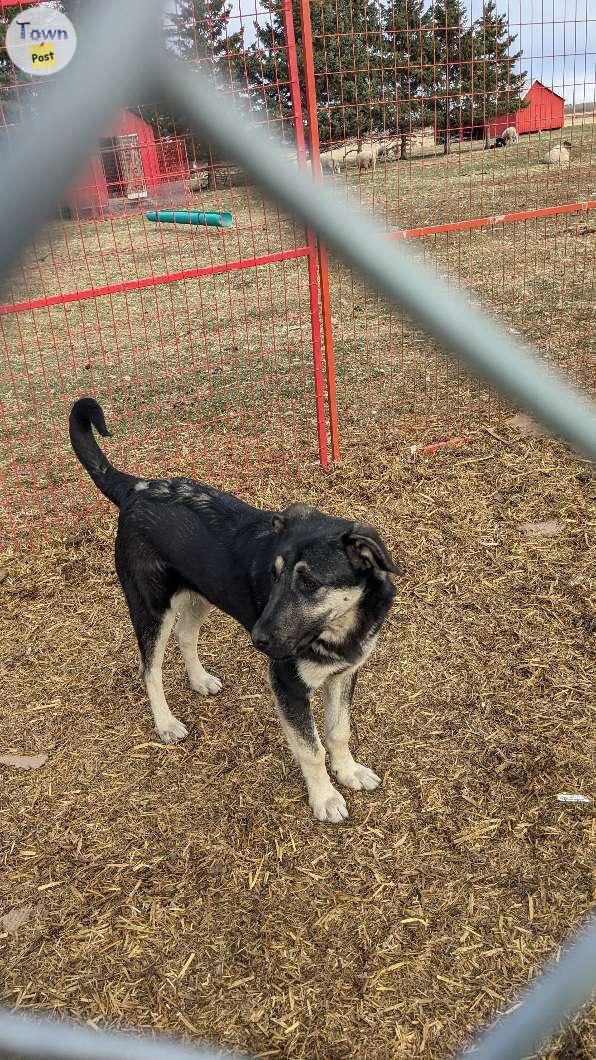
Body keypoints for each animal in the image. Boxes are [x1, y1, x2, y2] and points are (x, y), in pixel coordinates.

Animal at [68, 396, 398, 818]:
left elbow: (338, 731)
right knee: (150, 669)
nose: (258, 640)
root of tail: (135, 488)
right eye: (275, 574)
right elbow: (311, 748)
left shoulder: (344, 674)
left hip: (200, 593)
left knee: (186, 635)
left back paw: (199, 679)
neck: (341, 625)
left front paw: (348, 771)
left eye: (308, 582)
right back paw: (166, 723)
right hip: (151, 608)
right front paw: (324, 797)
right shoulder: (288, 683)